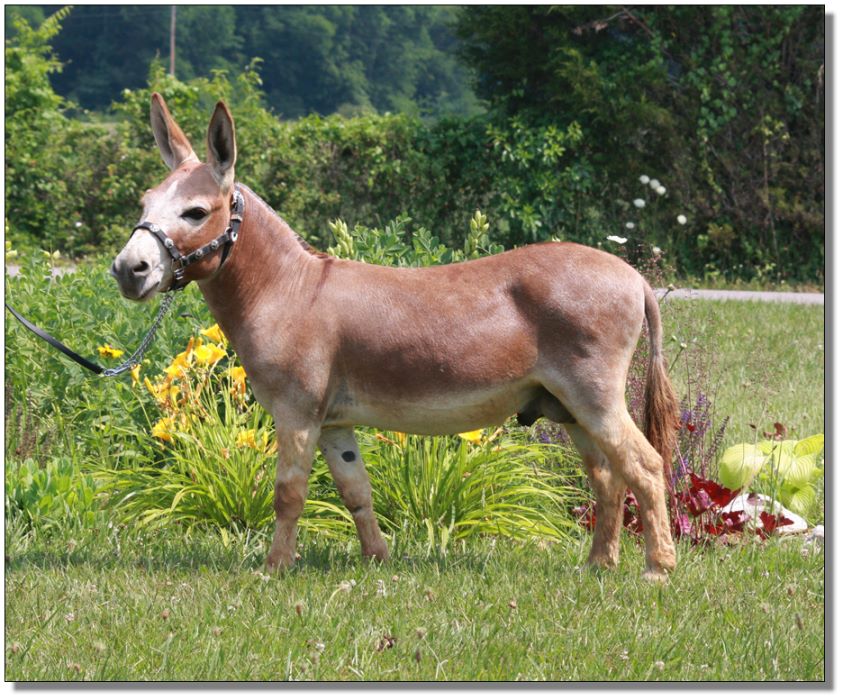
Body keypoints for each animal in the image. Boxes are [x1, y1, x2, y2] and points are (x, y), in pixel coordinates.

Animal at [111, 94, 679, 580]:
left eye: (195, 213)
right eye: (143, 203)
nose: (126, 270)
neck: (288, 288)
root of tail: (634, 277)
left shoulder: (296, 413)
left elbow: (288, 494)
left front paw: (274, 569)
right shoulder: (333, 423)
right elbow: (355, 491)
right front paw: (377, 559)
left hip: (594, 396)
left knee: (646, 466)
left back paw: (657, 568)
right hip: (568, 407)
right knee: (608, 477)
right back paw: (599, 565)